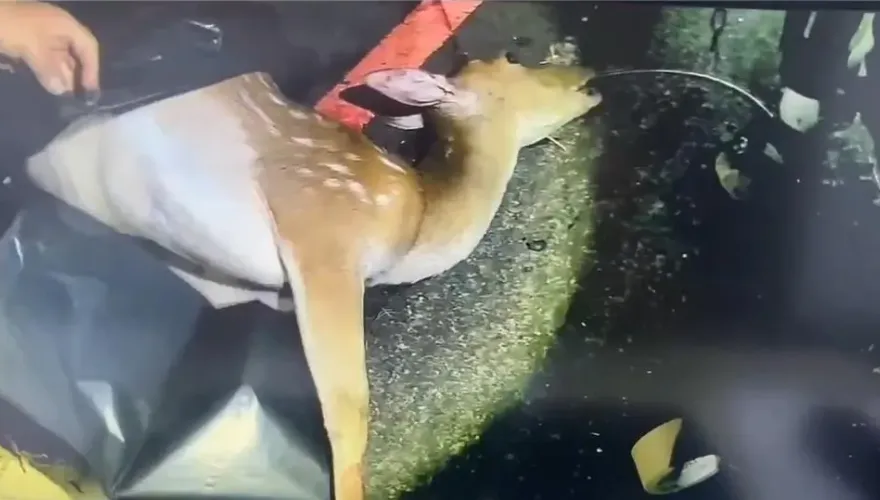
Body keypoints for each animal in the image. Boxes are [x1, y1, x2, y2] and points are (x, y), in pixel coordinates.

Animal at [24, 52, 603, 499]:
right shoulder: (323, 231)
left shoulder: (231, 283)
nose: (587, 72)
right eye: (511, 59)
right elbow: (350, 409)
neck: (416, 224)